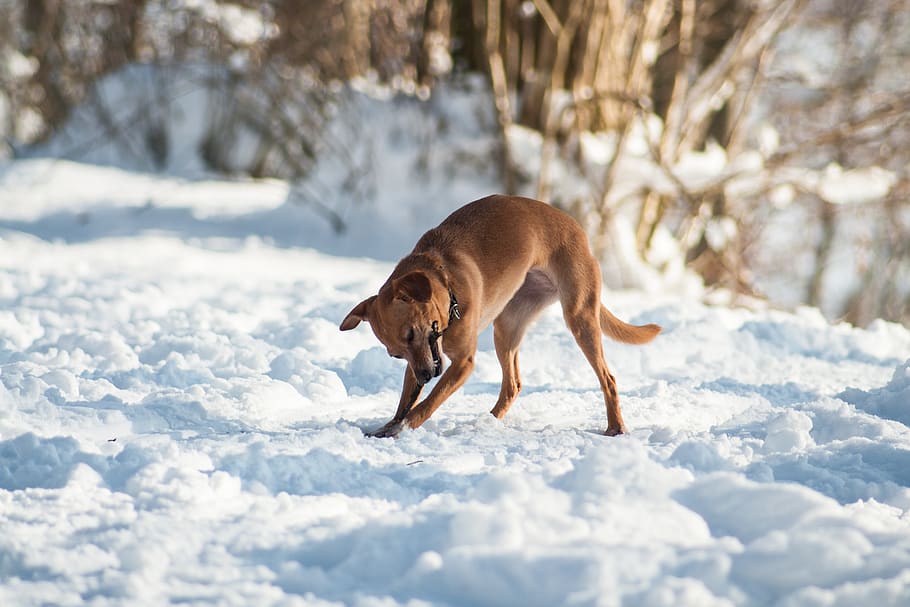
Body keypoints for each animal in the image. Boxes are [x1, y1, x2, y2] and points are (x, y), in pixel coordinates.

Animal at [342, 197, 664, 440]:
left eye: (411, 333)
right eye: (395, 354)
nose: (425, 376)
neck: (447, 283)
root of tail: (577, 229)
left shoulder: (462, 363)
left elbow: (428, 403)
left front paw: (404, 428)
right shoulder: (423, 360)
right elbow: (405, 401)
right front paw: (388, 426)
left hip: (579, 316)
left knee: (608, 378)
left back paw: (615, 427)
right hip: (507, 326)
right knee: (513, 385)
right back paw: (487, 422)